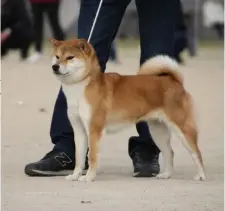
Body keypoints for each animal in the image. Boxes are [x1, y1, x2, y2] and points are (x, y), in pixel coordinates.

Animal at [48, 38, 206, 183]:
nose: (55, 66)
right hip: (158, 131)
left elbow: (92, 156)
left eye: (70, 57)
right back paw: (166, 175)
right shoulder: (79, 130)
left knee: (196, 153)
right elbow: (79, 157)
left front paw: (88, 177)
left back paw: (201, 175)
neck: (80, 87)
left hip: (182, 128)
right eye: (57, 56)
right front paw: (75, 175)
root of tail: (174, 81)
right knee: (170, 153)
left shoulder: (94, 130)